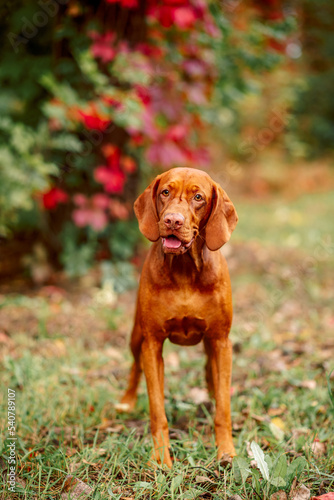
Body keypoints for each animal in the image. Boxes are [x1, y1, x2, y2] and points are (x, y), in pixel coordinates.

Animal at [117, 166, 237, 466]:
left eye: (198, 197)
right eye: (165, 192)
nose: (172, 220)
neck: (184, 270)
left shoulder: (221, 340)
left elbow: (223, 409)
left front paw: (225, 449)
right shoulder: (151, 344)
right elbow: (157, 409)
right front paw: (161, 457)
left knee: (209, 368)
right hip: (136, 337)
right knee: (135, 368)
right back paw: (127, 400)